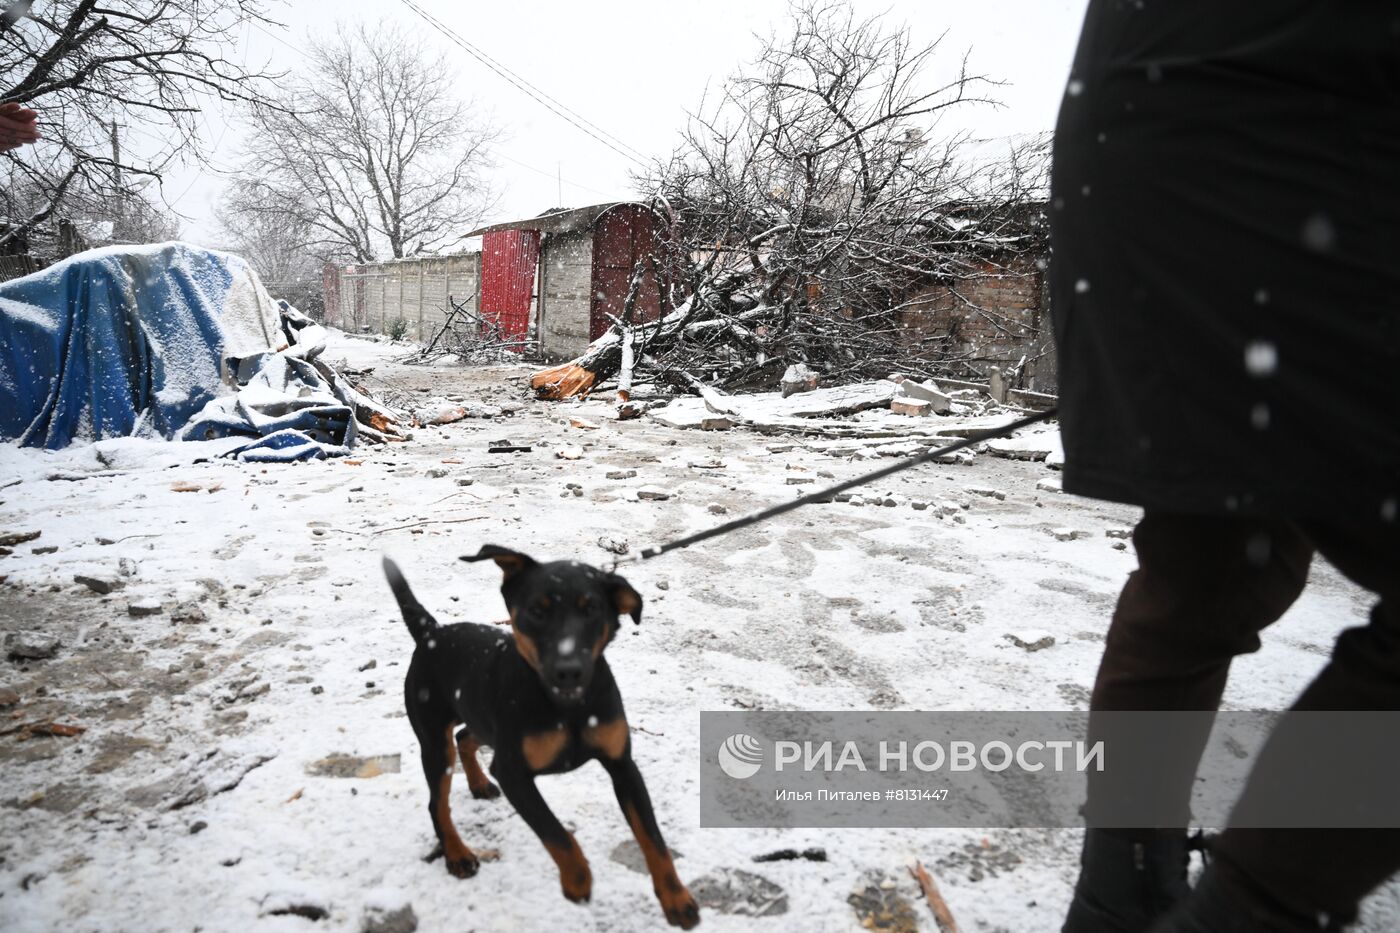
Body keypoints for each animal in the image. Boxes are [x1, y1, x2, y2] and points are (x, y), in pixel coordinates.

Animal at [383, 540, 700, 924]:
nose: (569, 670)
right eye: (536, 611)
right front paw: (577, 881)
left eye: (592, 610)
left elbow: (654, 839)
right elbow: (556, 833)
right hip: (433, 738)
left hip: (483, 720)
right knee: (437, 802)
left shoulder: (623, 765)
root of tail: (432, 632)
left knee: (464, 738)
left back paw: (478, 784)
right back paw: (458, 855)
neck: (568, 706)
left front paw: (676, 899)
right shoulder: (513, 773)